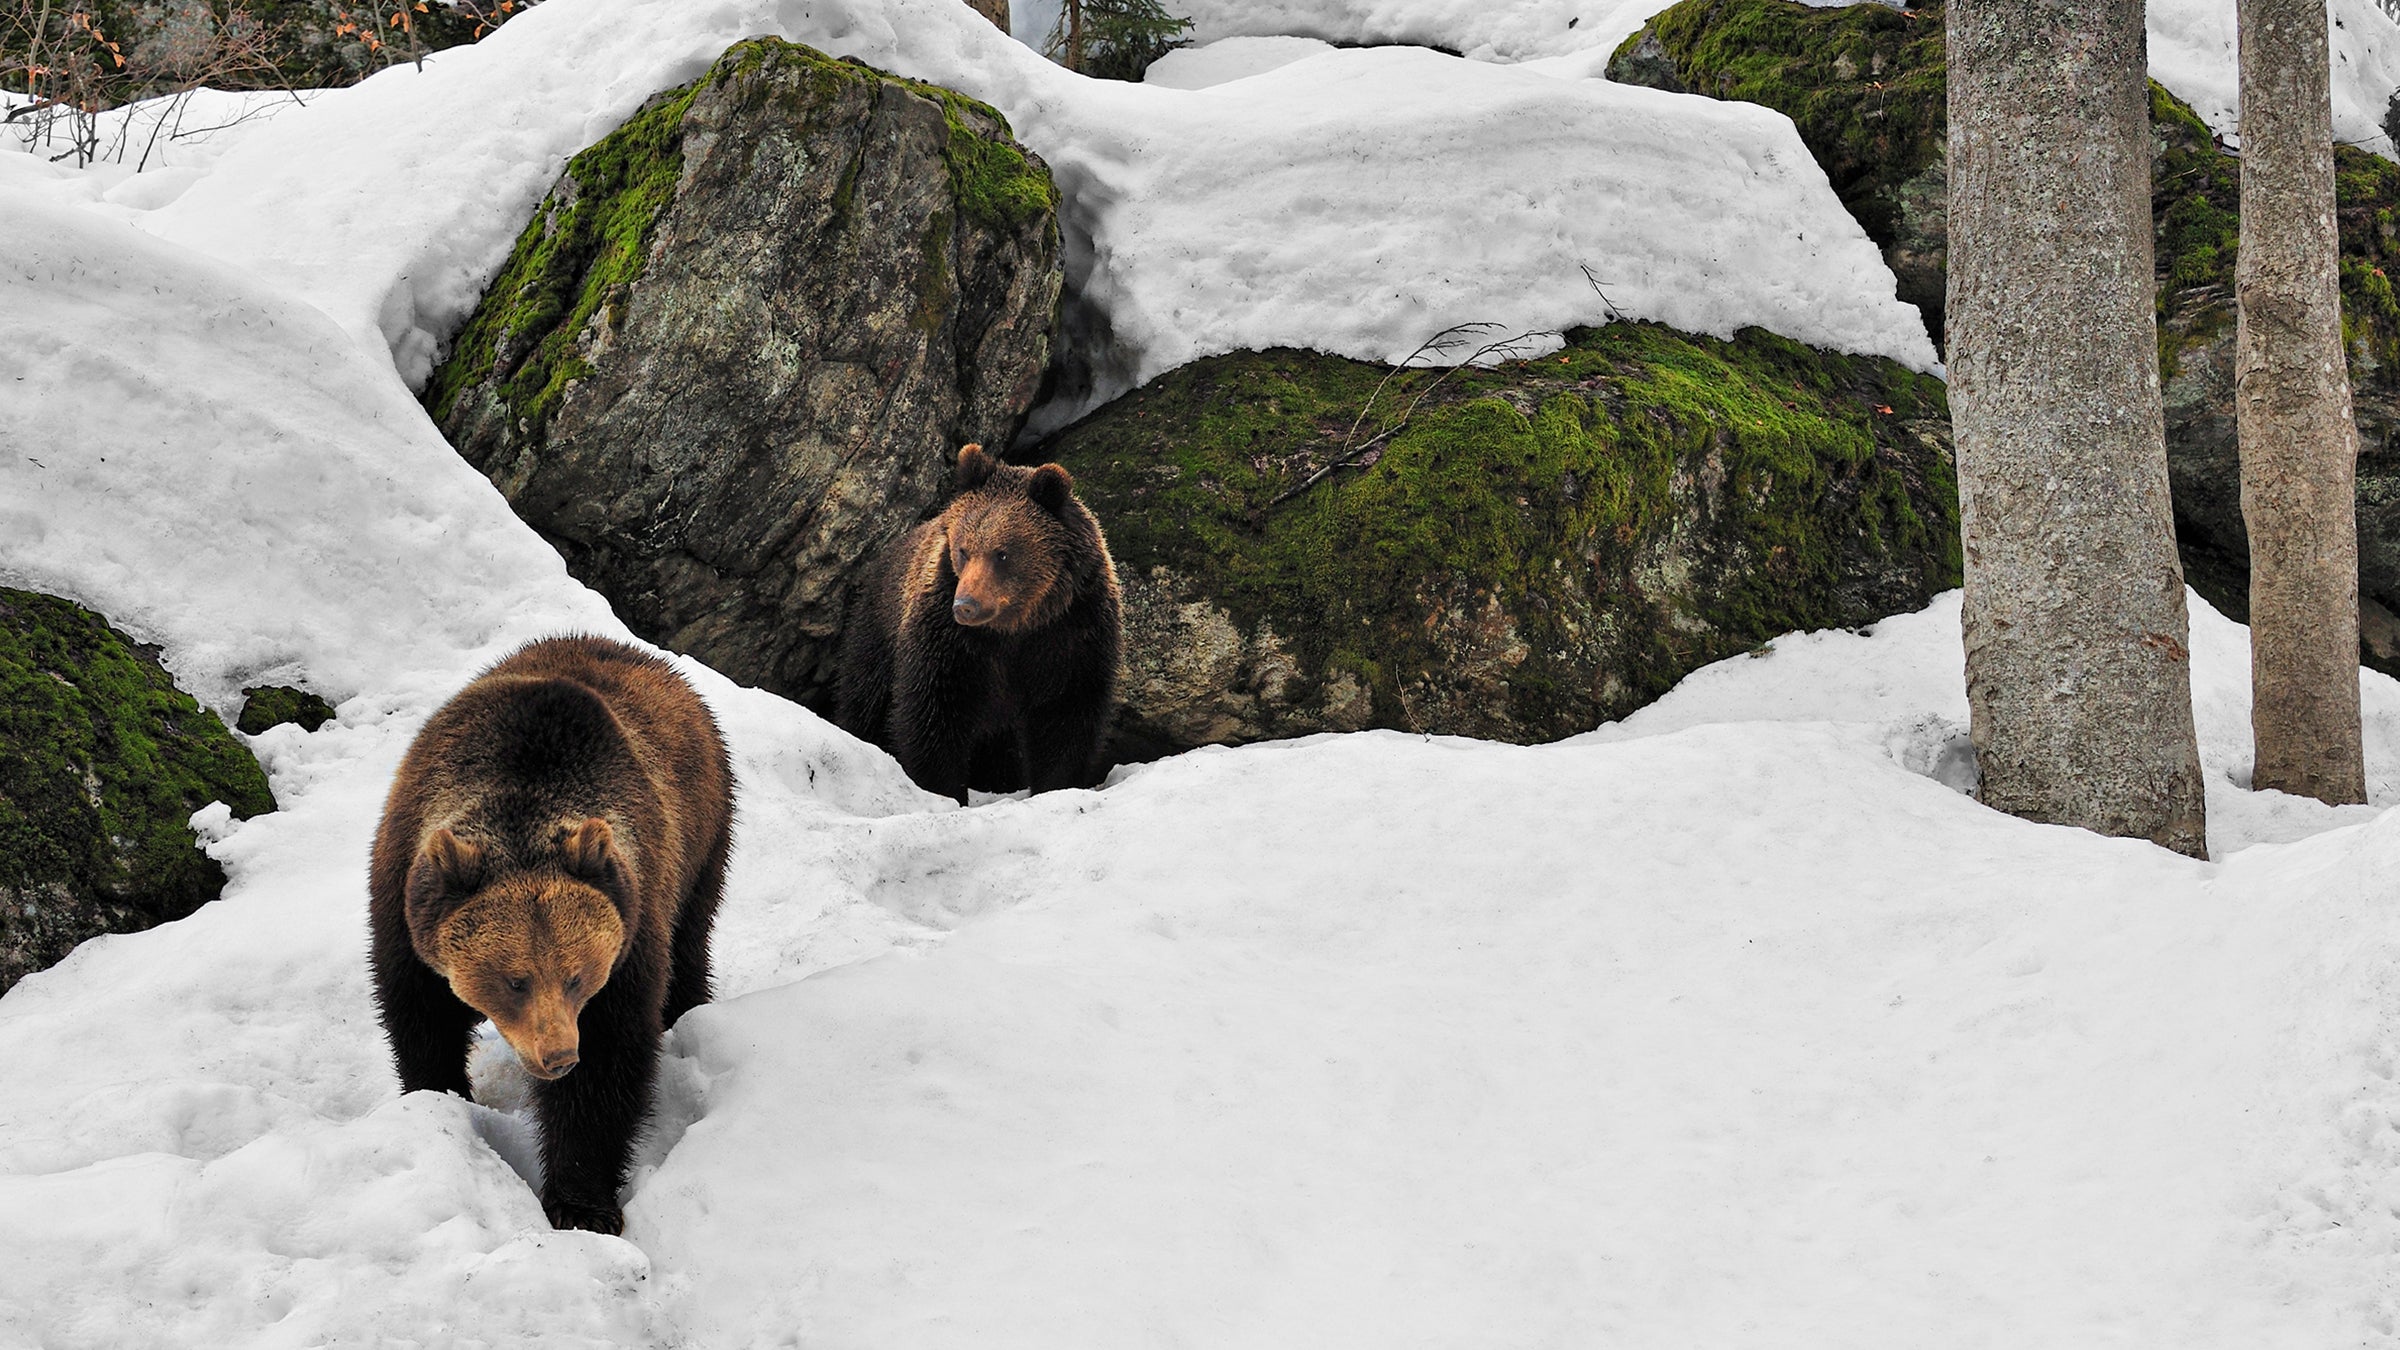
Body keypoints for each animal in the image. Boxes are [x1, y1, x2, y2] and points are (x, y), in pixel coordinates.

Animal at [366, 634, 733, 1235]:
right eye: (514, 980)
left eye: (578, 976)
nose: (558, 1055)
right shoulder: (405, 899)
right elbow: (420, 1016)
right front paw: (438, 1097)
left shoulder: (631, 930)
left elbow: (608, 1063)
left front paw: (581, 1205)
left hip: (705, 835)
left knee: (690, 942)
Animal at [836, 443, 1122, 804]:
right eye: (963, 549)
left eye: (1002, 553)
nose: (966, 606)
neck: (1017, 625)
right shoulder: (948, 639)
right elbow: (933, 710)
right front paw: (944, 790)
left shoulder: (1071, 632)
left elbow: (1066, 713)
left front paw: (1057, 785)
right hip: (877, 632)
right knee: (864, 702)